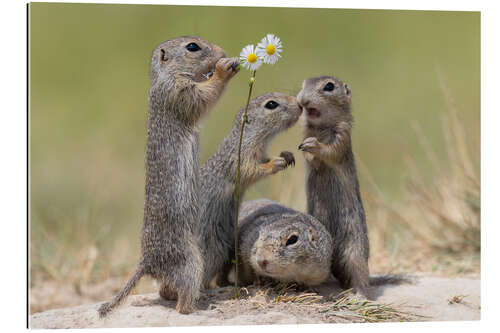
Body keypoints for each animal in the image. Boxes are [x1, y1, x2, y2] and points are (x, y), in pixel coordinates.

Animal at [98, 37, 239, 316]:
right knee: (182, 301)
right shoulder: (179, 93)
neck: (166, 76)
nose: (223, 52)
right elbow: (202, 97)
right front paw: (223, 68)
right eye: (193, 47)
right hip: (191, 260)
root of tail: (148, 261)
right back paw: (200, 307)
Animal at [199, 92, 300, 286]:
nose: (300, 106)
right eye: (271, 104)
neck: (250, 137)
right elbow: (252, 170)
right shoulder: (242, 158)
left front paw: (287, 155)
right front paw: (275, 163)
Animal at [296, 75, 372, 296]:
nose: (302, 100)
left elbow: (330, 151)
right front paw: (306, 150)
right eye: (303, 85)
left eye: (329, 86)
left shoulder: (342, 135)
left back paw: (358, 296)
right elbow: (308, 156)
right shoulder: (306, 131)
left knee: (361, 276)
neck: (320, 127)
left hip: (354, 252)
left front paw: (314, 146)